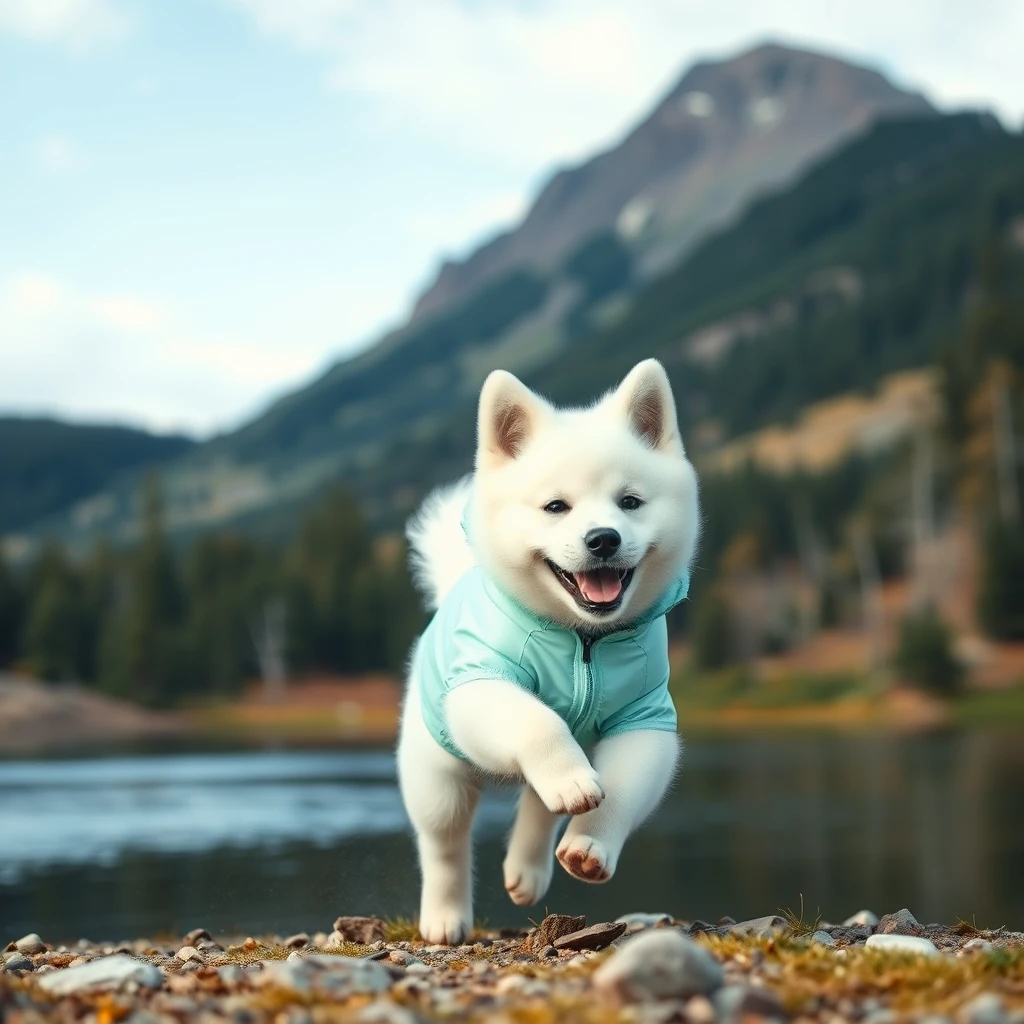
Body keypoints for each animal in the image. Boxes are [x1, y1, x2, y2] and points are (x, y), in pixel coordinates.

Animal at [395, 360, 700, 942]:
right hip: (436, 772)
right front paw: (568, 778)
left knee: (538, 805)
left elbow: (621, 787)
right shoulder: (480, 685)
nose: (603, 538)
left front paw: (590, 842)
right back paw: (444, 917)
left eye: (630, 502)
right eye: (555, 507)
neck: (583, 641)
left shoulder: (645, 717)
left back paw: (528, 866)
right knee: (443, 842)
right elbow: (538, 722)